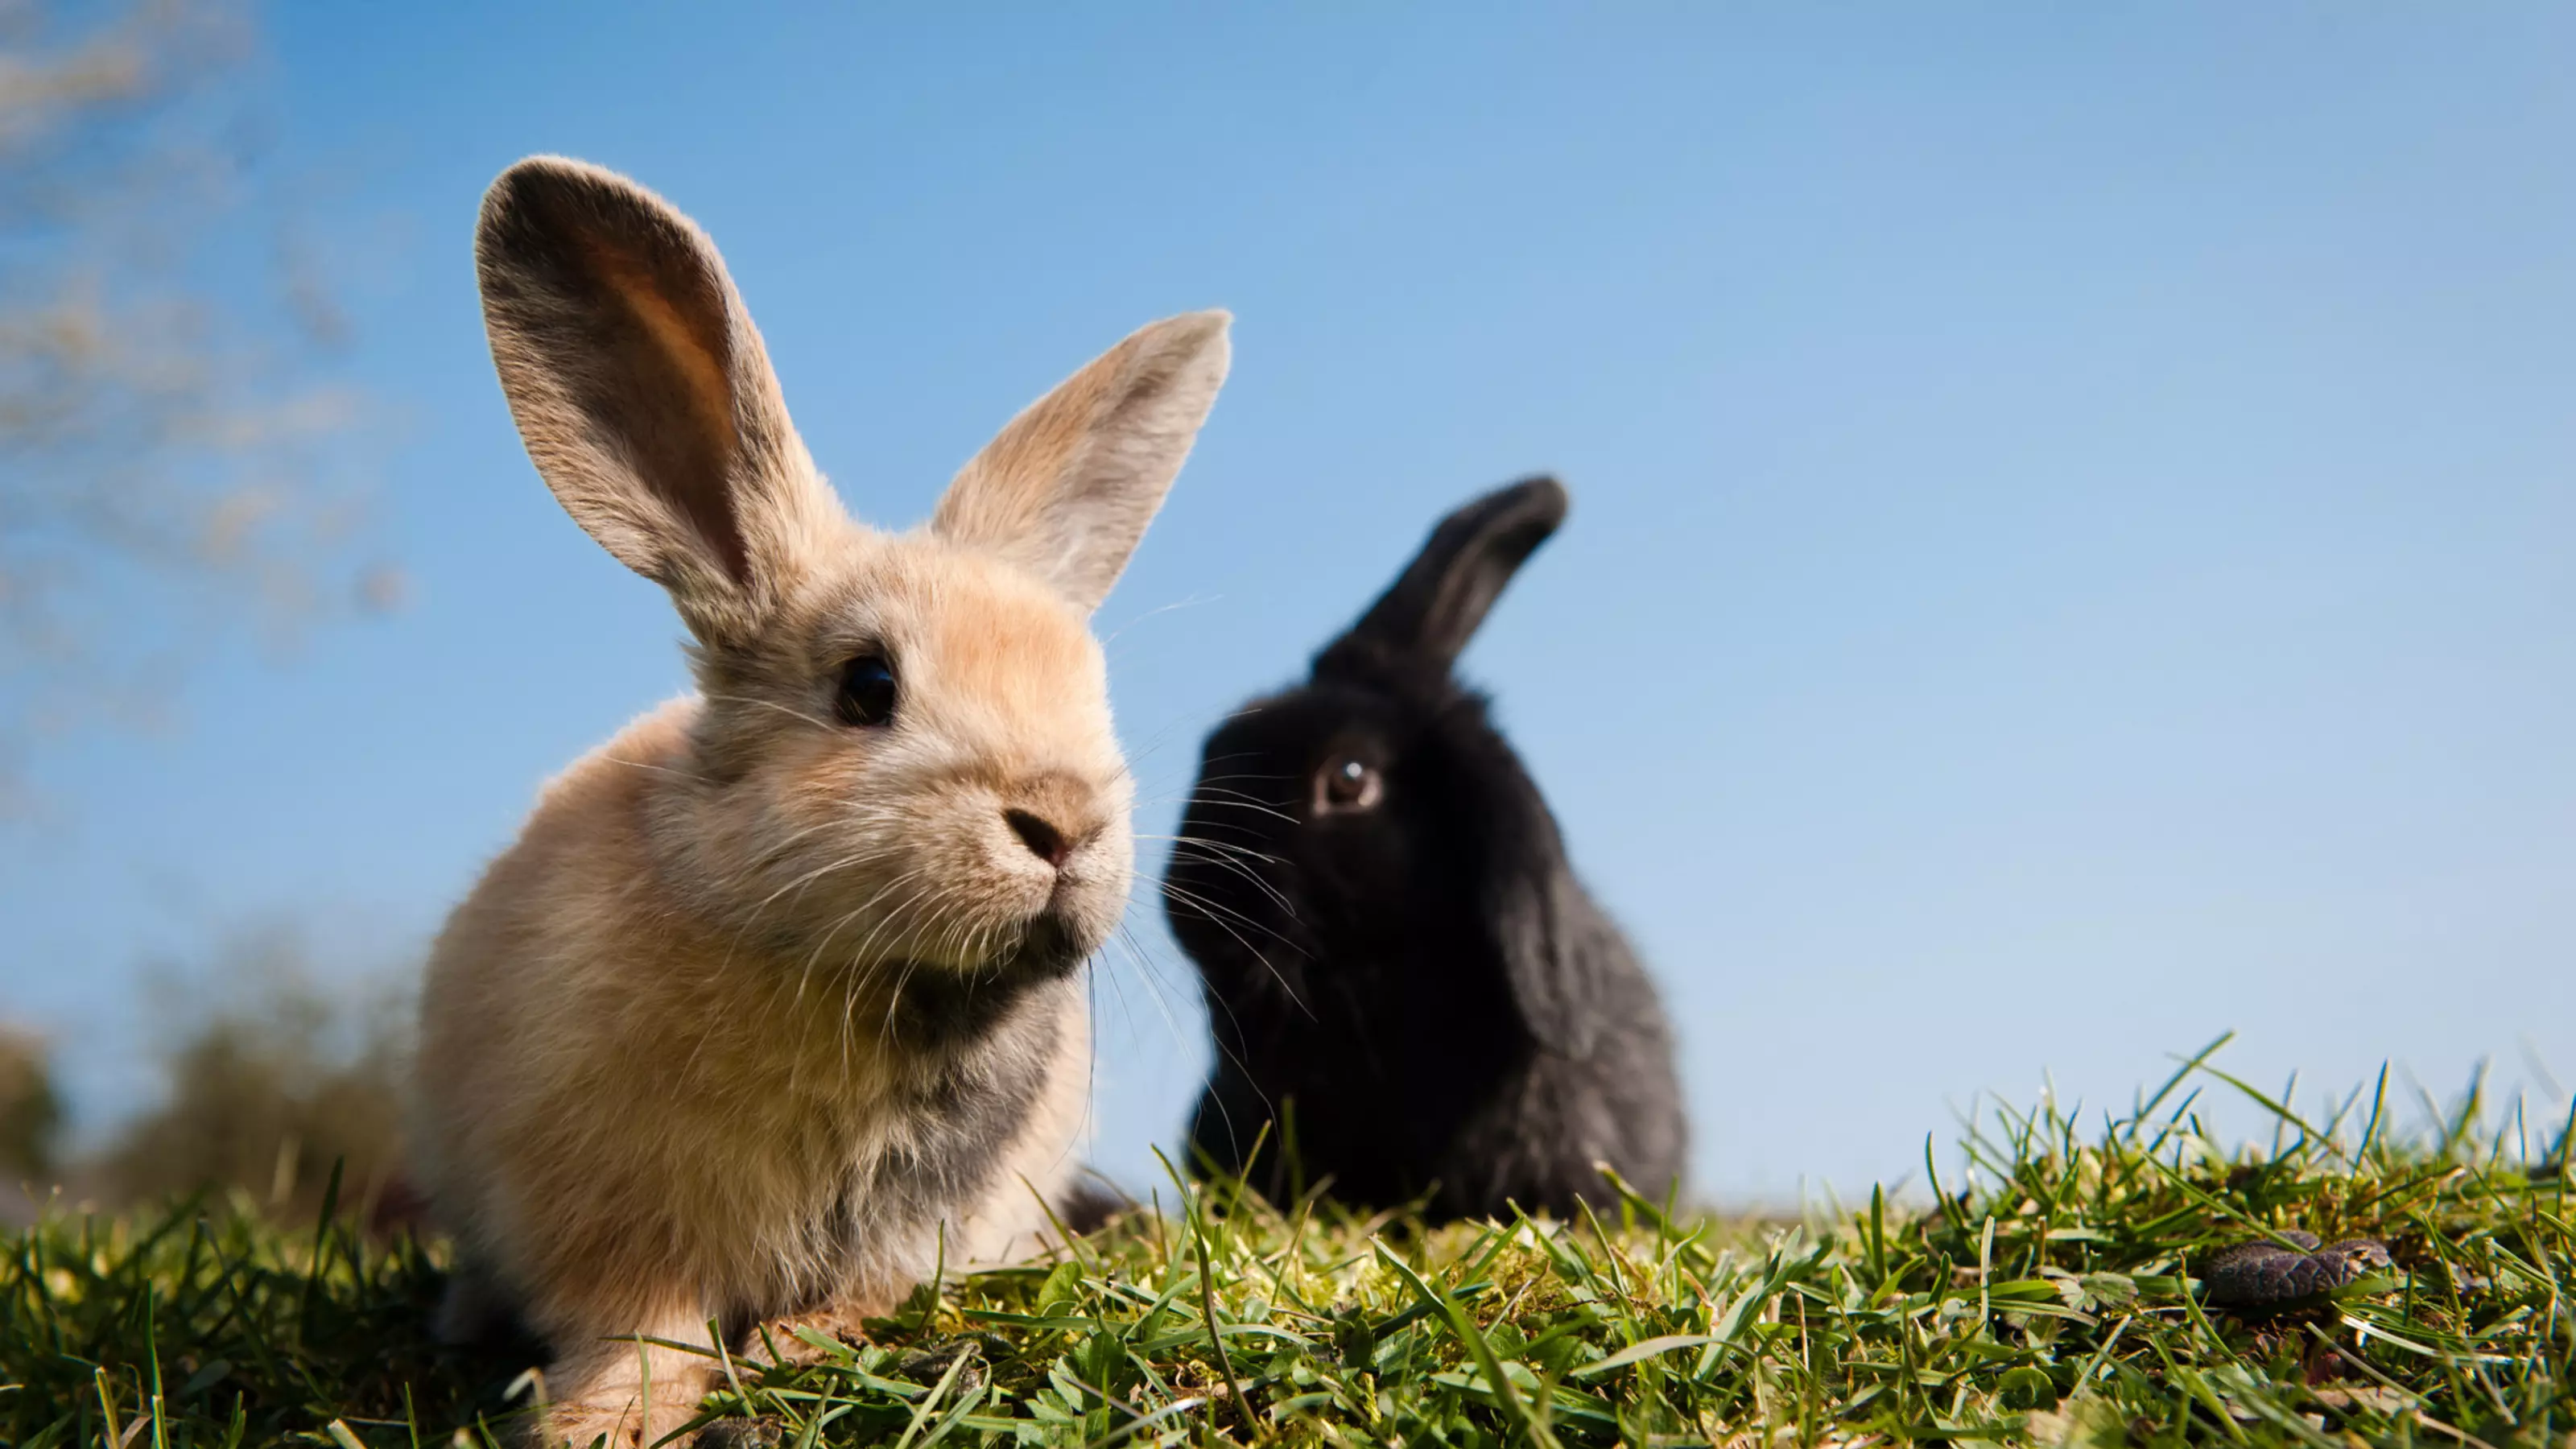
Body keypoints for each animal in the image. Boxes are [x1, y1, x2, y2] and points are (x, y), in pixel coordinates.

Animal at [415, 158, 1236, 1443]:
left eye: (1090, 691)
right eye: (867, 687)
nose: (1062, 822)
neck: (865, 984)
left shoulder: (933, 1221)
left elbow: (873, 1292)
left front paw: (802, 1344)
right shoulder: (606, 1222)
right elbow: (643, 1325)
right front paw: (606, 1419)